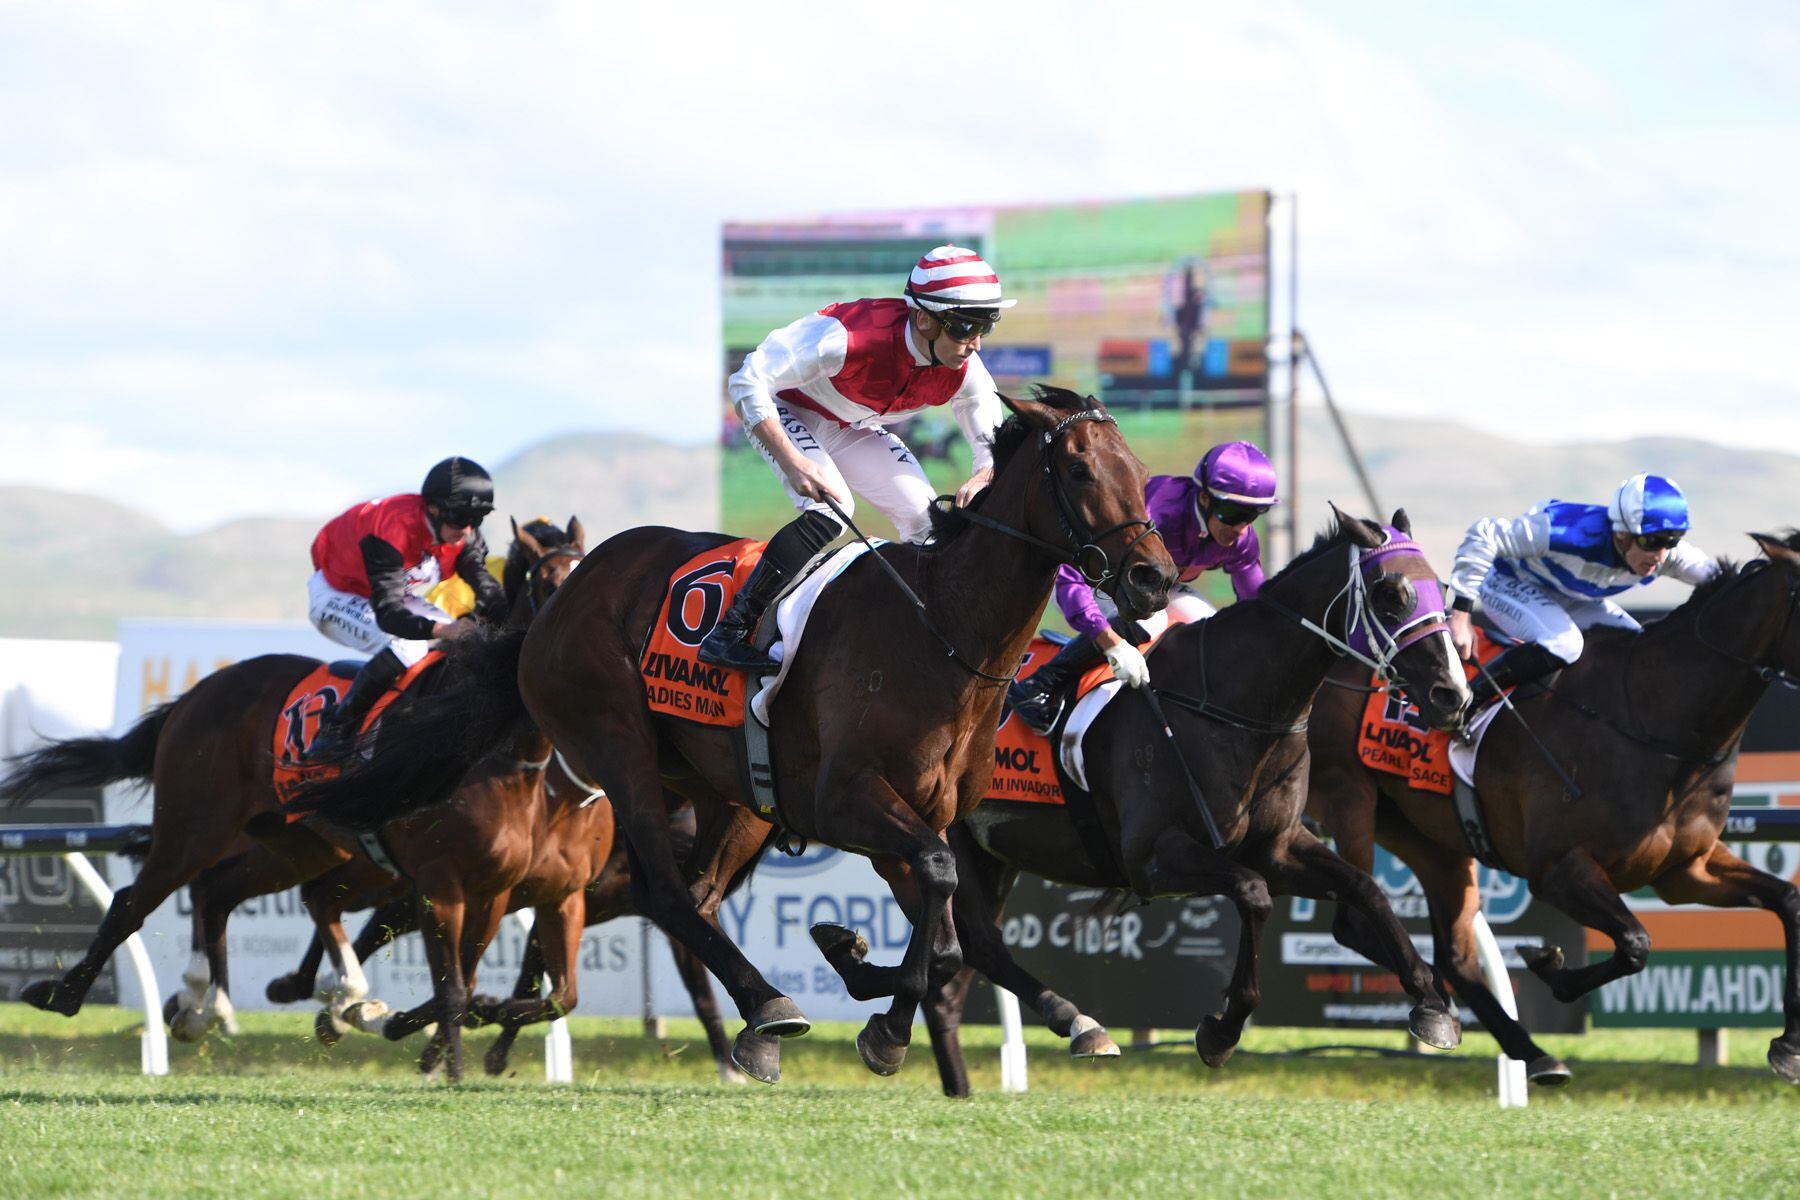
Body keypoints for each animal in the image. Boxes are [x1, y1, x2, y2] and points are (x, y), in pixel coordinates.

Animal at [291, 390, 1180, 1086]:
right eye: (1078, 471)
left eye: (1137, 467)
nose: (1154, 577)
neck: (942, 630)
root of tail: (555, 605)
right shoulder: (848, 800)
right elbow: (940, 894)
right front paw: (884, 1025)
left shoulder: (917, 816)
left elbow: (954, 940)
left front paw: (862, 961)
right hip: (618, 745)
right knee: (668, 893)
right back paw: (767, 1006)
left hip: (730, 795)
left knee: (697, 896)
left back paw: (760, 1019)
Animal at [835, 510, 1468, 1093]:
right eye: (1391, 595)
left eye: (1440, 590)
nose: (1452, 695)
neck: (1235, 703)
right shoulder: (1153, 858)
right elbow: (1253, 895)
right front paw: (1221, 1031)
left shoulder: (1280, 846)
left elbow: (1365, 889)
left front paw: (1432, 1004)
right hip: (946, 840)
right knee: (974, 946)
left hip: (991, 857)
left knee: (966, 960)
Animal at [1310, 528, 1800, 1086]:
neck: (1653, 719)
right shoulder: (1557, 869)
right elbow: (1635, 942)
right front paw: (1549, 966)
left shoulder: (1686, 871)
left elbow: (1787, 900)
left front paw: (1788, 1046)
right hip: (1350, 796)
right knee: (1353, 921)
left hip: (1430, 839)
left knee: (1455, 954)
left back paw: (1529, 1051)